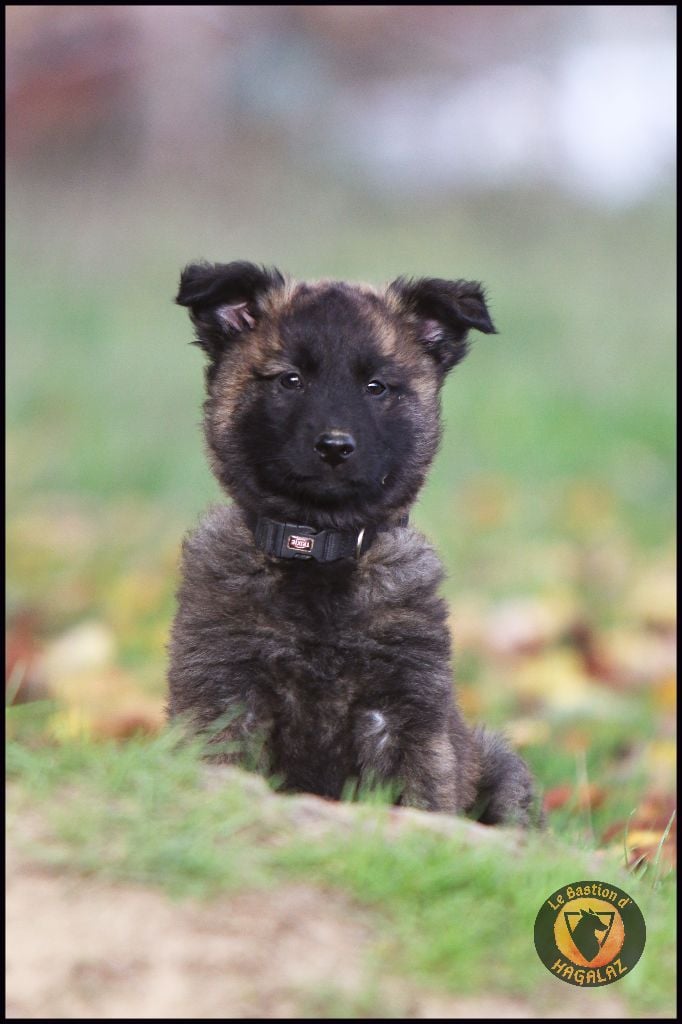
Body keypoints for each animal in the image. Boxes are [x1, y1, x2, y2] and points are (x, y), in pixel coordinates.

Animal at [168, 261, 538, 825]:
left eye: (376, 386)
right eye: (291, 380)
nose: (335, 447)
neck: (318, 551)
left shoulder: (407, 716)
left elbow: (422, 802)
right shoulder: (222, 697)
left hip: (503, 767)